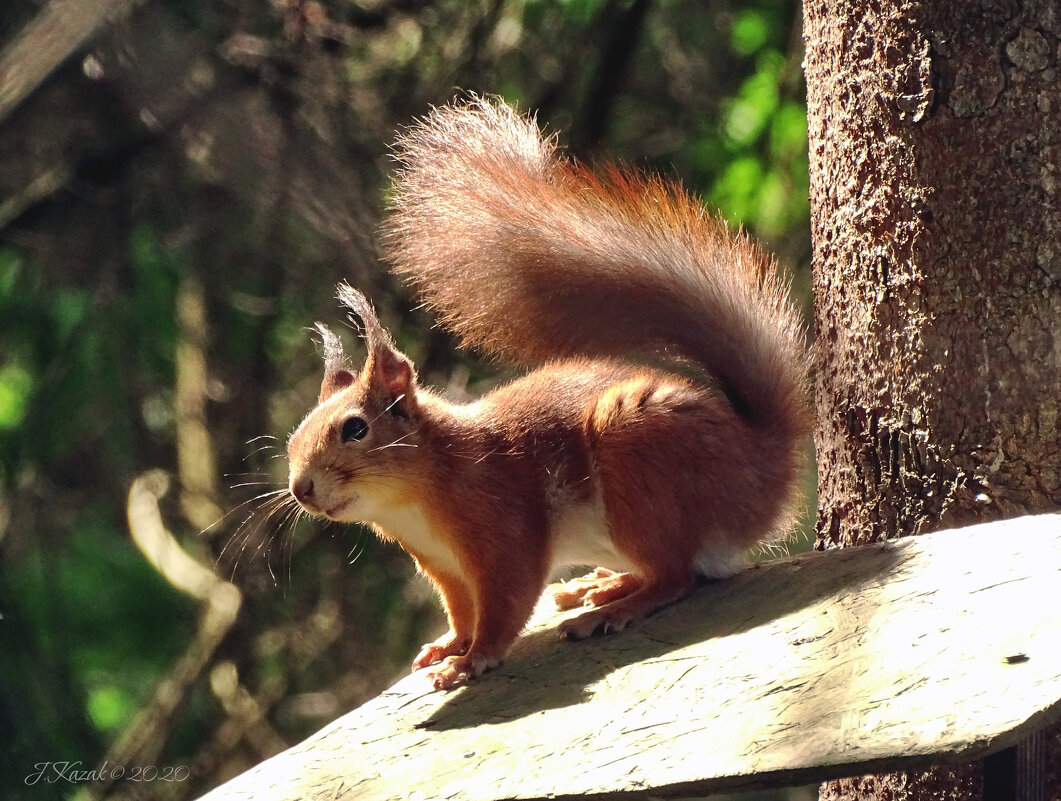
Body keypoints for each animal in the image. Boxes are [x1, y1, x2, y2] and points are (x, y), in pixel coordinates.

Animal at [286, 97, 806, 691]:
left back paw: (613, 609)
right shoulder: (444, 567)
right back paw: (602, 586)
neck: (420, 494)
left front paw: (473, 659)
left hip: (637, 454)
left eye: (355, 428)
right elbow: (461, 611)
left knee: (676, 576)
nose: (300, 489)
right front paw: (449, 646)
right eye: (292, 439)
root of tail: (765, 471)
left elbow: (504, 605)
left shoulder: (504, 531)